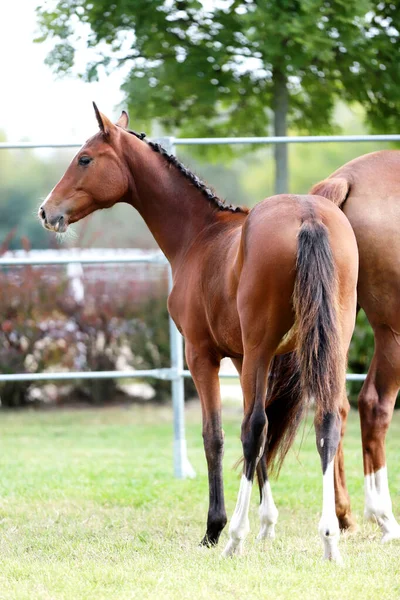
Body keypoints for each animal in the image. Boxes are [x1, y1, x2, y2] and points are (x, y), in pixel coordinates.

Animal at [40, 105, 358, 560]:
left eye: (84, 158)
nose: (47, 212)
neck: (200, 234)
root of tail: (308, 216)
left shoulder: (203, 355)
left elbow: (217, 436)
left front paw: (216, 527)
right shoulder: (243, 358)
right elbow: (261, 438)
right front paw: (268, 524)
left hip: (262, 348)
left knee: (253, 427)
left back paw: (235, 537)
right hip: (330, 349)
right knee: (328, 420)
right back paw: (329, 538)